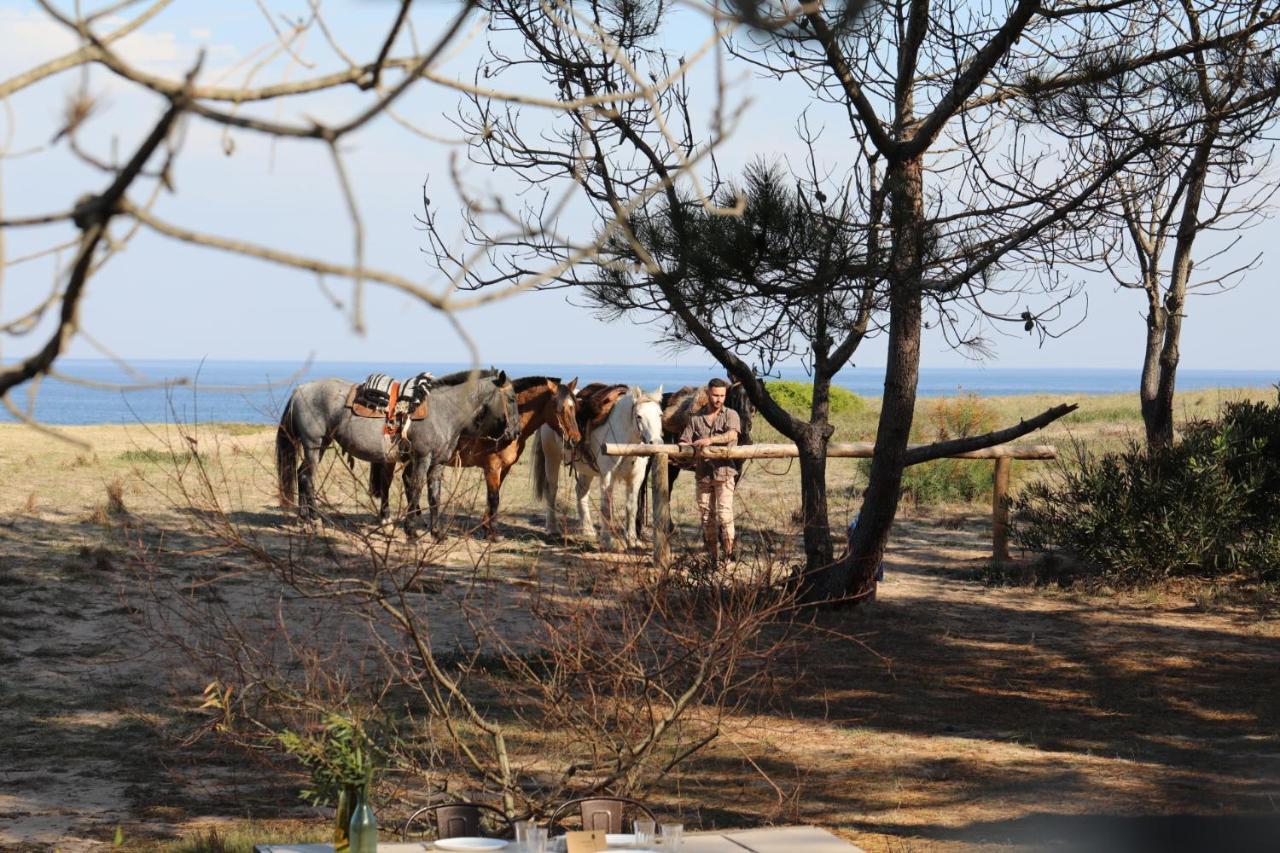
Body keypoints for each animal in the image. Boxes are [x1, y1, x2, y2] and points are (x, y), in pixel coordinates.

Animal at [276, 368, 519, 535]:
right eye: (511, 398)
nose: (515, 433)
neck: (443, 411)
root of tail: (300, 389)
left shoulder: (437, 463)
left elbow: (434, 496)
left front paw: (436, 533)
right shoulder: (422, 458)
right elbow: (417, 488)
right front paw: (411, 531)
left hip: (320, 445)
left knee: (301, 474)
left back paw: (304, 518)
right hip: (313, 444)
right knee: (308, 478)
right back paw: (314, 519)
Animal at [442, 373, 578, 537]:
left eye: (574, 407)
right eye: (559, 409)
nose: (575, 439)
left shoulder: (504, 467)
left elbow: (492, 496)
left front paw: (487, 528)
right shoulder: (492, 467)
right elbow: (494, 498)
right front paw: (493, 533)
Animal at [532, 381, 665, 548]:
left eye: (660, 414)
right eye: (639, 416)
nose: (656, 443)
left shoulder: (636, 478)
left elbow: (632, 507)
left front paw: (633, 540)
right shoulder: (607, 477)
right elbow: (606, 507)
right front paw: (607, 541)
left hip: (585, 469)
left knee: (581, 491)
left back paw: (588, 529)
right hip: (552, 459)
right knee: (552, 490)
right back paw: (553, 528)